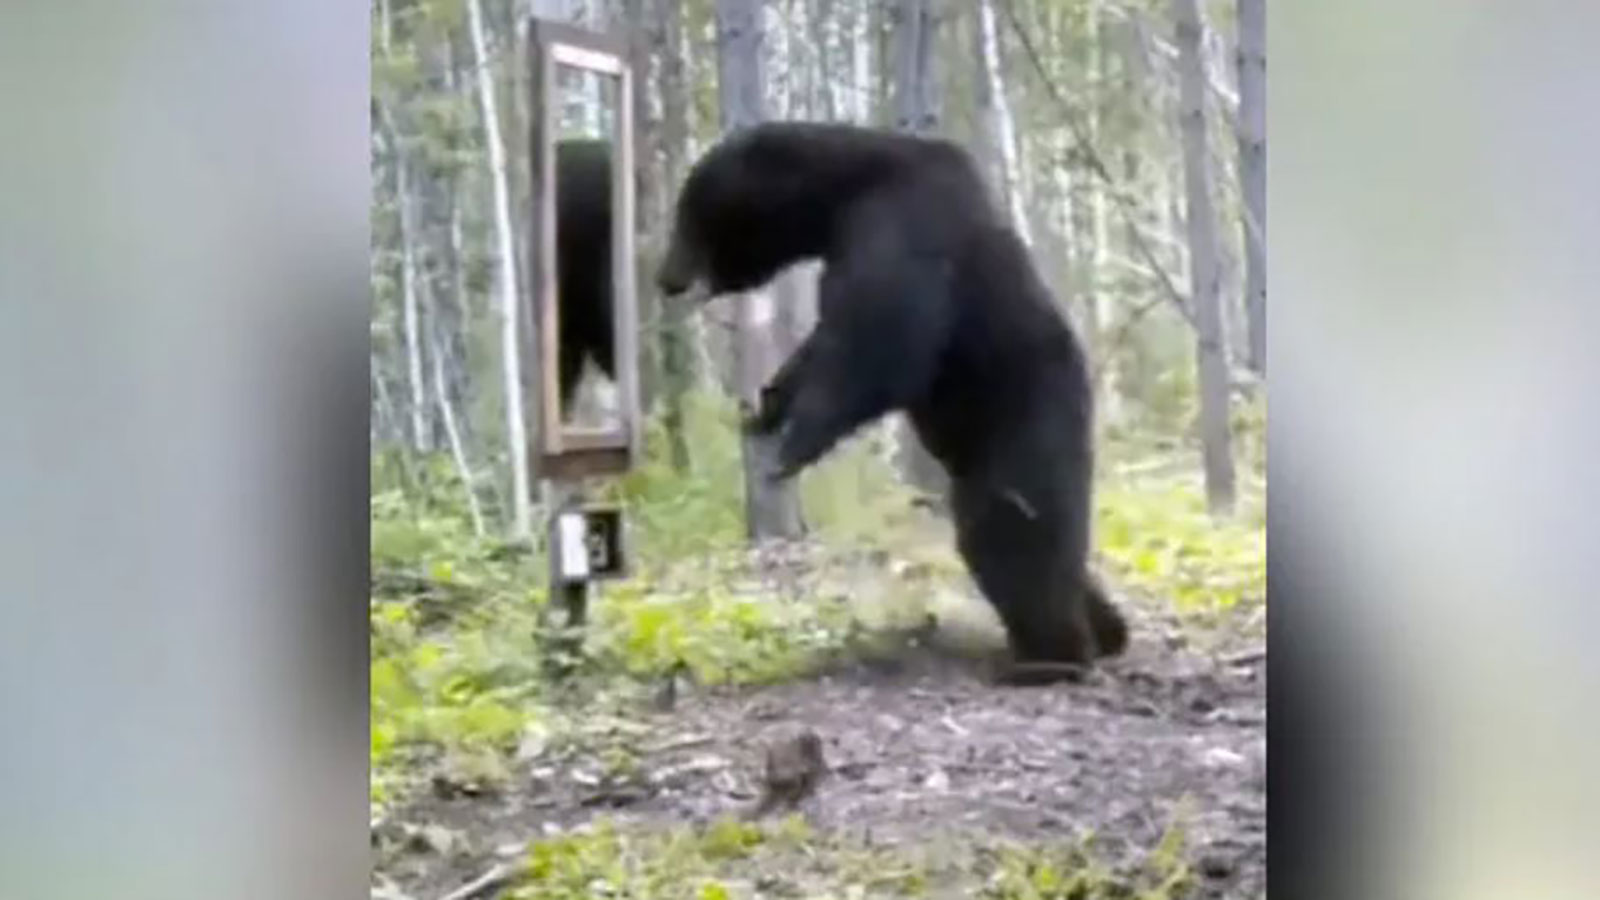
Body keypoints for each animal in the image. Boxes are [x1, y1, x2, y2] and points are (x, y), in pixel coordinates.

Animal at [656, 122, 1132, 672]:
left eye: (686, 212)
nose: (664, 277)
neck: (843, 193)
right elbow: (823, 339)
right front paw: (765, 407)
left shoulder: (904, 223)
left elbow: (882, 342)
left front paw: (790, 448)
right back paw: (1106, 629)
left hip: (1024, 420)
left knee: (1013, 529)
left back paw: (1053, 656)